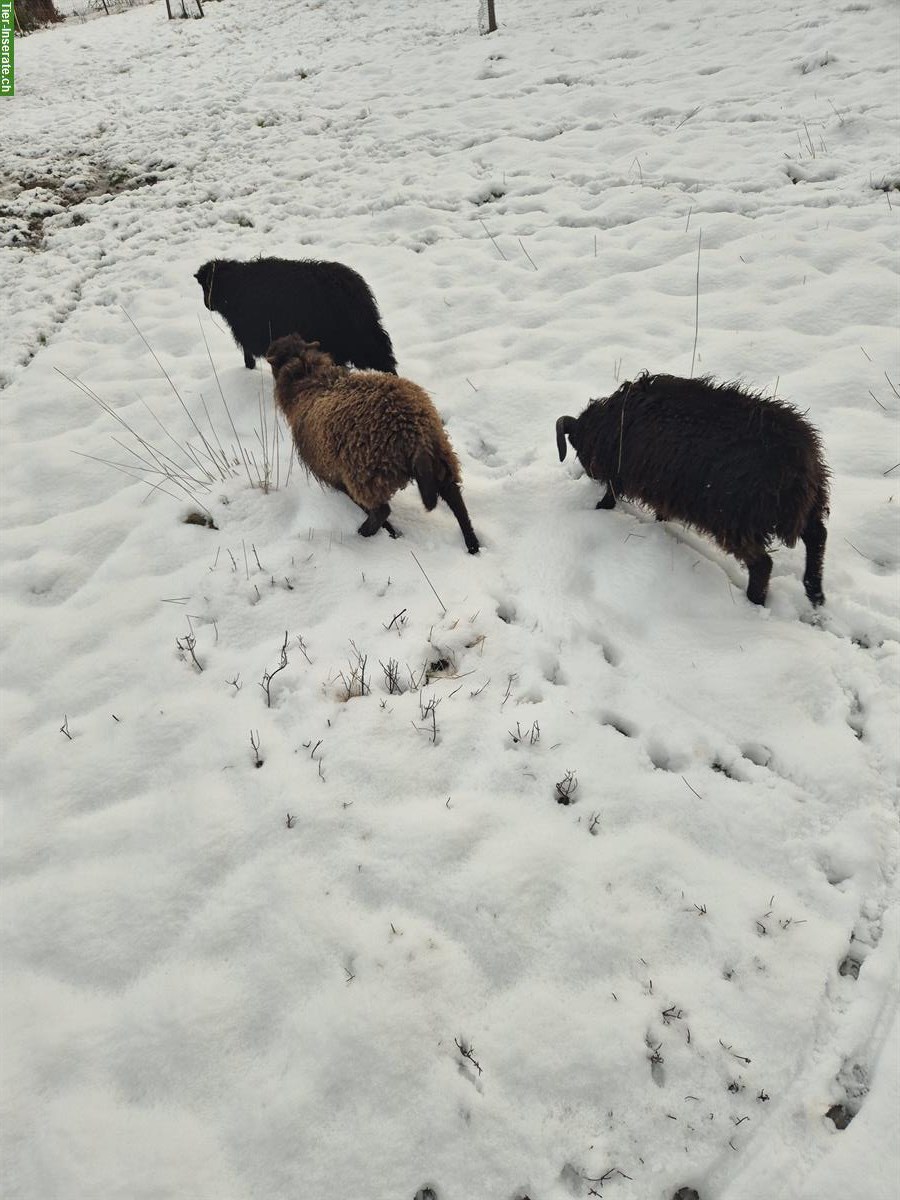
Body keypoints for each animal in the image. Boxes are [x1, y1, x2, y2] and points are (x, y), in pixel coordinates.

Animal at [266, 336, 482, 554]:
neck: (310, 379)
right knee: (455, 498)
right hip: (441, 455)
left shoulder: (337, 476)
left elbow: (361, 504)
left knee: (382, 511)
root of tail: (412, 430)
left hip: (366, 475)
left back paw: (364, 534)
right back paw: (472, 544)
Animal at [556, 369, 830, 604]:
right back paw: (814, 592)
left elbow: (611, 494)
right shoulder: (664, 487)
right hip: (810, 503)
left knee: (762, 564)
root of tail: (797, 463)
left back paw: (755, 602)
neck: (611, 424)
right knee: (818, 536)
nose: (589, 474)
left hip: (735, 520)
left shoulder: (625, 473)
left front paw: (599, 508)